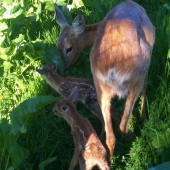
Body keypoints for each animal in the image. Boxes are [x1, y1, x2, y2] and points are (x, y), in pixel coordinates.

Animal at [53, 0, 155, 161]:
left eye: (68, 48)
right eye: (58, 46)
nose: (63, 68)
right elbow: (145, 87)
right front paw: (144, 118)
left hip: (101, 89)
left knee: (110, 135)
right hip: (137, 75)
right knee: (123, 125)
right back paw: (137, 134)